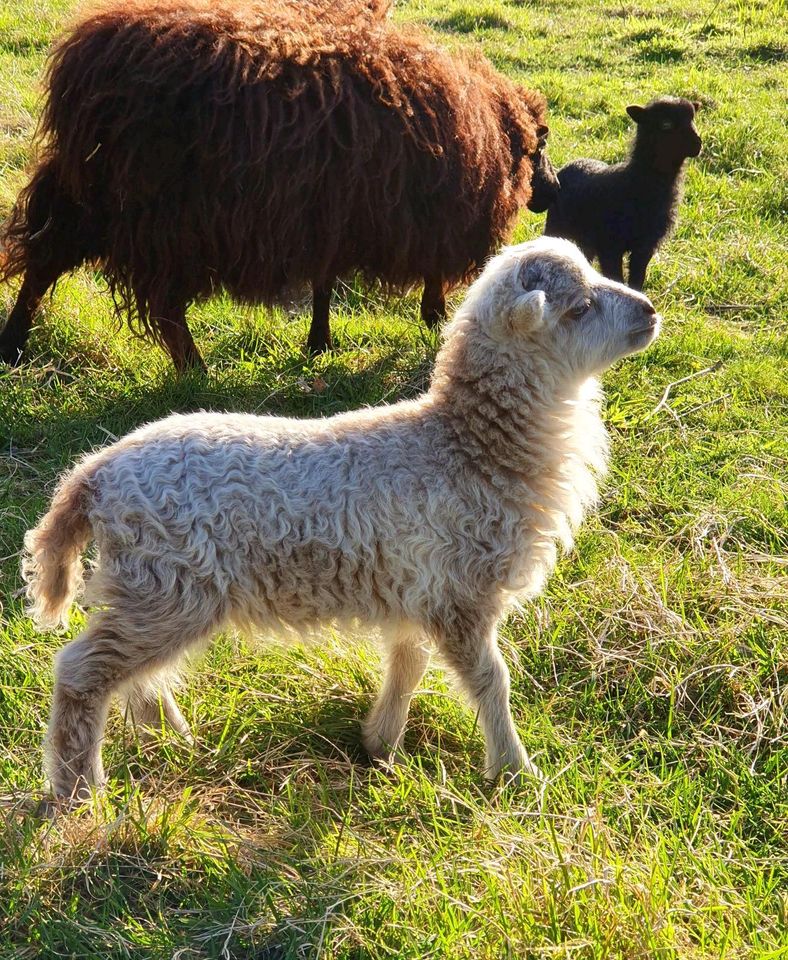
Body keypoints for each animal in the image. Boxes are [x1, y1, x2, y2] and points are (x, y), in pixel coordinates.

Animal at [0, 0, 556, 372]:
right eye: (539, 147)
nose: (551, 190)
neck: (485, 129)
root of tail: (87, 63)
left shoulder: (334, 214)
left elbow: (325, 282)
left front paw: (320, 341)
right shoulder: (423, 214)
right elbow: (426, 273)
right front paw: (433, 316)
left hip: (85, 197)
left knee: (42, 261)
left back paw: (14, 344)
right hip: (167, 221)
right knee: (163, 304)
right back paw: (194, 368)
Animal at [23, 236, 660, 800]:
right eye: (580, 307)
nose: (651, 311)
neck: (467, 444)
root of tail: (94, 473)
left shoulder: (419, 590)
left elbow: (408, 665)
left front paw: (381, 746)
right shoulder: (461, 593)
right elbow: (490, 682)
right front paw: (516, 772)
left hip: (152, 590)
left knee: (133, 680)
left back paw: (177, 745)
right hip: (167, 589)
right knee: (80, 672)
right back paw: (79, 791)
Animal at [540, 98, 700, 292]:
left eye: (693, 119)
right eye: (666, 124)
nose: (698, 144)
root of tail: (570, 164)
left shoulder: (644, 247)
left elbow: (637, 279)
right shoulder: (610, 247)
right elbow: (615, 277)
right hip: (556, 226)